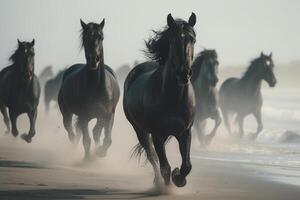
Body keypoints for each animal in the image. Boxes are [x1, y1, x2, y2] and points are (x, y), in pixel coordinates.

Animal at [58, 18, 120, 159]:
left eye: (101, 37)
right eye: (85, 38)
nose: (94, 60)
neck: (96, 86)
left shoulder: (108, 115)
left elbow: (107, 139)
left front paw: (100, 153)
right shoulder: (83, 117)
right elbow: (86, 140)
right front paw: (87, 159)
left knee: (96, 132)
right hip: (67, 114)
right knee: (71, 133)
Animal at [123, 12, 196, 188]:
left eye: (193, 39)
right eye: (173, 40)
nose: (184, 73)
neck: (173, 98)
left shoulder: (185, 132)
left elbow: (187, 165)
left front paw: (178, 178)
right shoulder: (157, 135)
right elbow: (164, 167)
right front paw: (168, 184)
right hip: (139, 130)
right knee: (152, 156)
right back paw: (157, 182)